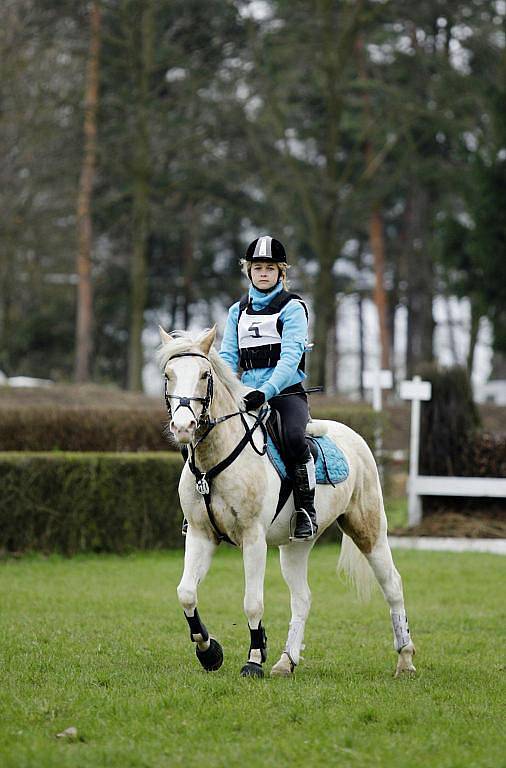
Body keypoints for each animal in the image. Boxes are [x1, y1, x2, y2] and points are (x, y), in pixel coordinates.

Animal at [160, 324, 418, 680]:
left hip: (368, 529)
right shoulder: (201, 535)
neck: (213, 462)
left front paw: (254, 660)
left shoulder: (253, 538)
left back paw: (405, 660)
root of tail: (354, 435)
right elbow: (185, 593)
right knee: (302, 598)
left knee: (392, 585)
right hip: (295, 545)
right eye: (168, 375)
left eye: (204, 375)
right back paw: (286, 661)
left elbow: (252, 601)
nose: (182, 427)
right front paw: (209, 652)